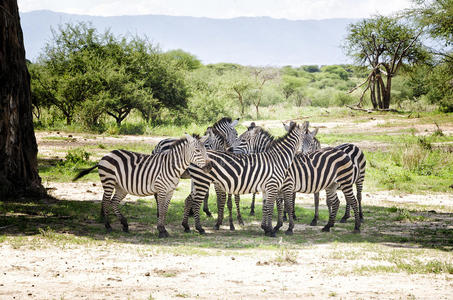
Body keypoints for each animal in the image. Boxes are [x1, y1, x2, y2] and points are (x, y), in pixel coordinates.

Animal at [72, 135, 210, 238]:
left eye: (205, 151)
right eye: (198, 151)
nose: (209, 167)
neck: (172, 167)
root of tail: (106, 155)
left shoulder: (170, 191)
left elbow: (165, 210)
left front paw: (164, 229)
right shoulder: (161, 189)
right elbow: (161, 210)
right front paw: (161, 230)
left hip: (121, 187)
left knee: (113, 202)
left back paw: (125, 225)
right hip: (108, 181)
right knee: (106, 201)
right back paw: (108, 226)